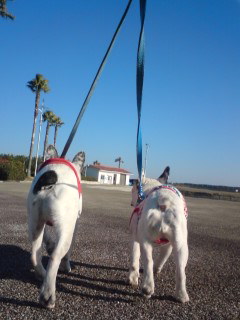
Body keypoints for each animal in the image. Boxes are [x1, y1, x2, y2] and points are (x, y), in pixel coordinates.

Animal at [27, 144, 85, 308]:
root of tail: (50, 179)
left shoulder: (42, 222)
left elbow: (47, 236)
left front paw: (49, 244)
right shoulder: (74, 225)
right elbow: (68, 253)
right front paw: (67, 266)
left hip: (34, 221)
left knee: (34, 254)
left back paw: (41, 274)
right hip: (65, 230)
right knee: (55, 257)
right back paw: (47, 296)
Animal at [128, 166, 188, 304]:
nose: (132, 202)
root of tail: (163, 203)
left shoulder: (135, 238)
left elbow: (134, 259)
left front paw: (133, 278)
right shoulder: (168, 245)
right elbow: (162, 258)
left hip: (145, 240)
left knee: (148, 261)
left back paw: (147, 288)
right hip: (181, 245)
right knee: (180, 269)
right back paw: (181, 295)